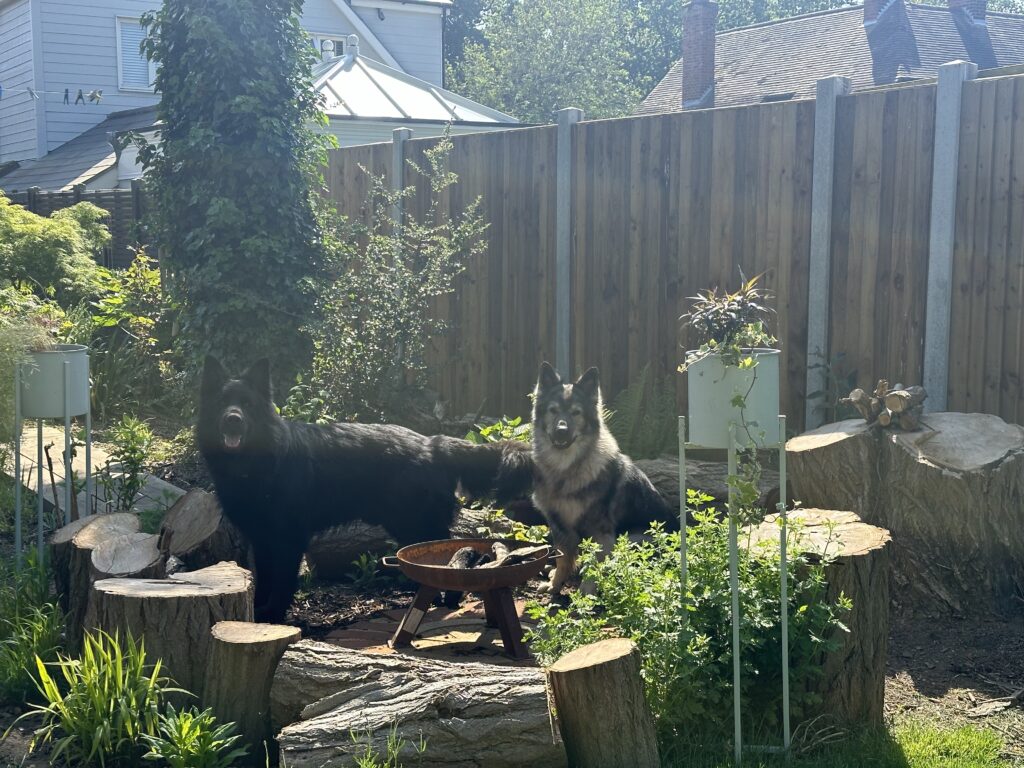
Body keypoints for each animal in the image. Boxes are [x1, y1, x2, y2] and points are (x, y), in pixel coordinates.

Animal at [200, 358, 536, 622]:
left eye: (247, 405)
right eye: (222, 403)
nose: (232, 420)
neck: (256, 463)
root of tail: (433, 443)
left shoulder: (288, 539)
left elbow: (282, 582)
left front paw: (273, 618)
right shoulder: (261, 538)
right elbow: (264, 579)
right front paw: (257, 614)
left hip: (413, 524)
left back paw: (447, 598)